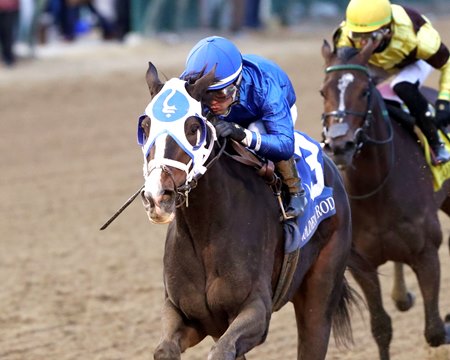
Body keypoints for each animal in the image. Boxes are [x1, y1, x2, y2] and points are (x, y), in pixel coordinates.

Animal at [139, 62, 356, 360]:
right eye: (145, 126)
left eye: (193, 127)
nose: (157, 196)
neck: (206, 232)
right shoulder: (186, 315)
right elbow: (165, 350)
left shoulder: (256, 310)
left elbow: (220, 352)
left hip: (321, 290)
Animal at [320, 39, 450, 360]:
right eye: (323, 92)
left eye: (364, 91)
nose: (339, 145)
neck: (377, 189)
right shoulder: (361, 264)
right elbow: (381, 326)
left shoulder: (427, 253)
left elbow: (434, 330)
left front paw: (447, 321)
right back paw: (401, 295)